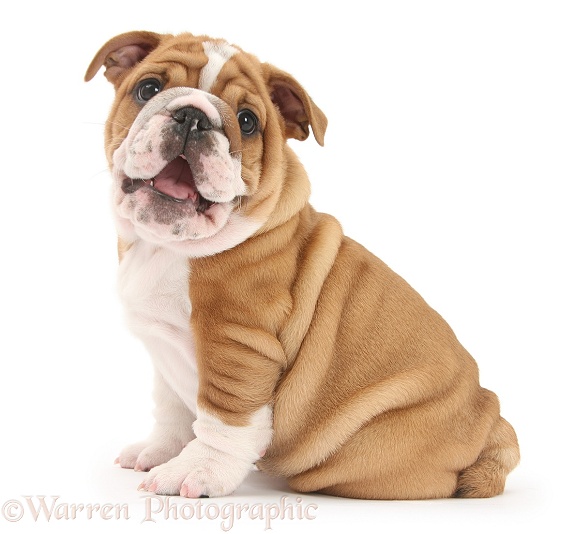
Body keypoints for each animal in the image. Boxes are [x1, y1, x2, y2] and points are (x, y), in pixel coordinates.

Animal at [86, 32, 520, 502]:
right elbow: (172, 407)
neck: (166, 247)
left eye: (247, 121)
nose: (194, 117)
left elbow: (222, 417)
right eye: (148, 88)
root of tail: (493, 426)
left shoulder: (237, 341)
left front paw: (197, 470)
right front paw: (163, 450)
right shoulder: (163, 348)